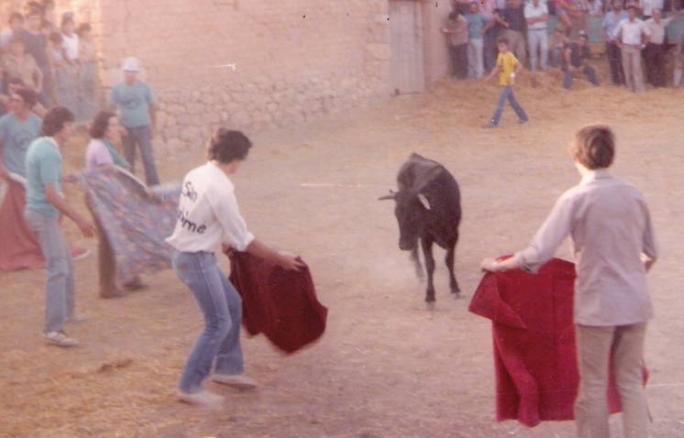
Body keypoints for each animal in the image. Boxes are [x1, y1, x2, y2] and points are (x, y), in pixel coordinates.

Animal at [379, 153, 462, 308]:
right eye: (396, 215)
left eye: (414, 214)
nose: (403, 245)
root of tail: (414, 156)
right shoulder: (425, 237)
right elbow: (430, 264)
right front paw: (430, 296)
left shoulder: (454, 235)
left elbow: (449, 260)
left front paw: (455, 289)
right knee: (416, 248)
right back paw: (418, 271)